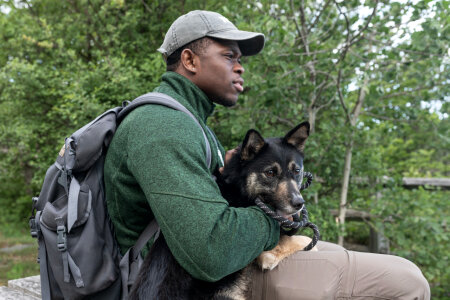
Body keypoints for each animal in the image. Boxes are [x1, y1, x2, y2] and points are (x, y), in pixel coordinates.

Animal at [128, 122, 314, 300]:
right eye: (270, 173)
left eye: (297, 171)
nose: (299, 203)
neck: (238, 188)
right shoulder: (266, 252)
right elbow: (303, 239)